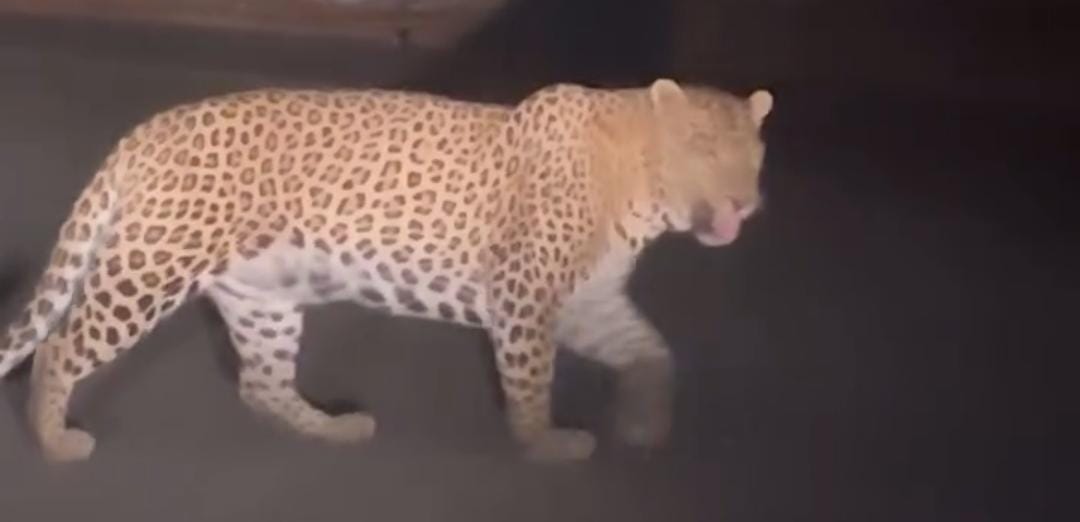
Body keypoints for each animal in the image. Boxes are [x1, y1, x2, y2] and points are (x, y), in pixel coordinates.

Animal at [0, 78, 773, 463]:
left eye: (754, 155)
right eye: (703, 147)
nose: (745, 202)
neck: (645, 195)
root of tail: (144, 132)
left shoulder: (589, 304)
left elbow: (653, 353)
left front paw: (645, 425)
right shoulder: (525, 297)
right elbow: (530, 383)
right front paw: (544, 445)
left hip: (261, 296)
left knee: (261, 384)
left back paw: (332, 431)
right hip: (151, 268)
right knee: (60, 346)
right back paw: (55, 442)